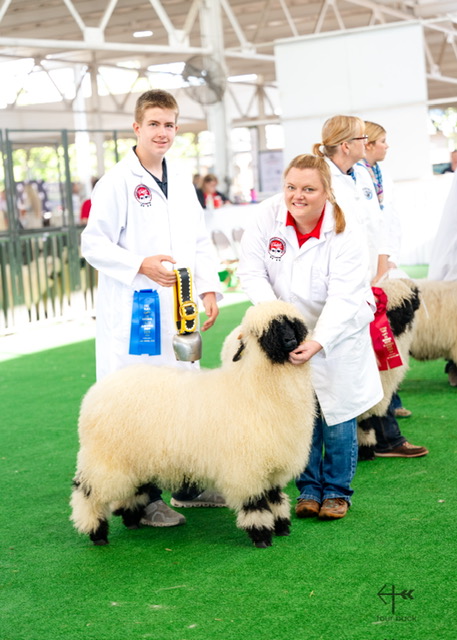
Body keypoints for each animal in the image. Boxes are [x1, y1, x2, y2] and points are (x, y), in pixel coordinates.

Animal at [70, 300, 315, 548]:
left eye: (292, 323)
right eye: (266, 331)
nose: (290, 341)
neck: (249, 387)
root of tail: (96, 391)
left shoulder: (273, 463)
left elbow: (275, 498)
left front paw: (282, 527)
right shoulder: (246, 467)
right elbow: (255, 504)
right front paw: (262, 536)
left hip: (135, 456)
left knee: (136, 488)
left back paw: (131, 520)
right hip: (106, 457)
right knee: (88, 492)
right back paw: (97, 532)